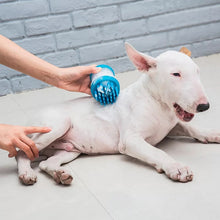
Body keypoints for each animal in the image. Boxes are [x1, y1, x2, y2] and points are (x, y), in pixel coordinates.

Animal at [15, 42, 220, 184]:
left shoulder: (171, 125)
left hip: (70, 150)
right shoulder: (130, 140)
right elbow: (157, 152)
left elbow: (191, 128)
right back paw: (26, 174)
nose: (204, 106)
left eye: (197, 71)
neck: (158, 103)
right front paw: (176, 168)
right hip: (56, 126)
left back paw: (60, 174)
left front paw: (212, 134)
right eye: (176, 74)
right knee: (21, 153)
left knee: (45, 163)